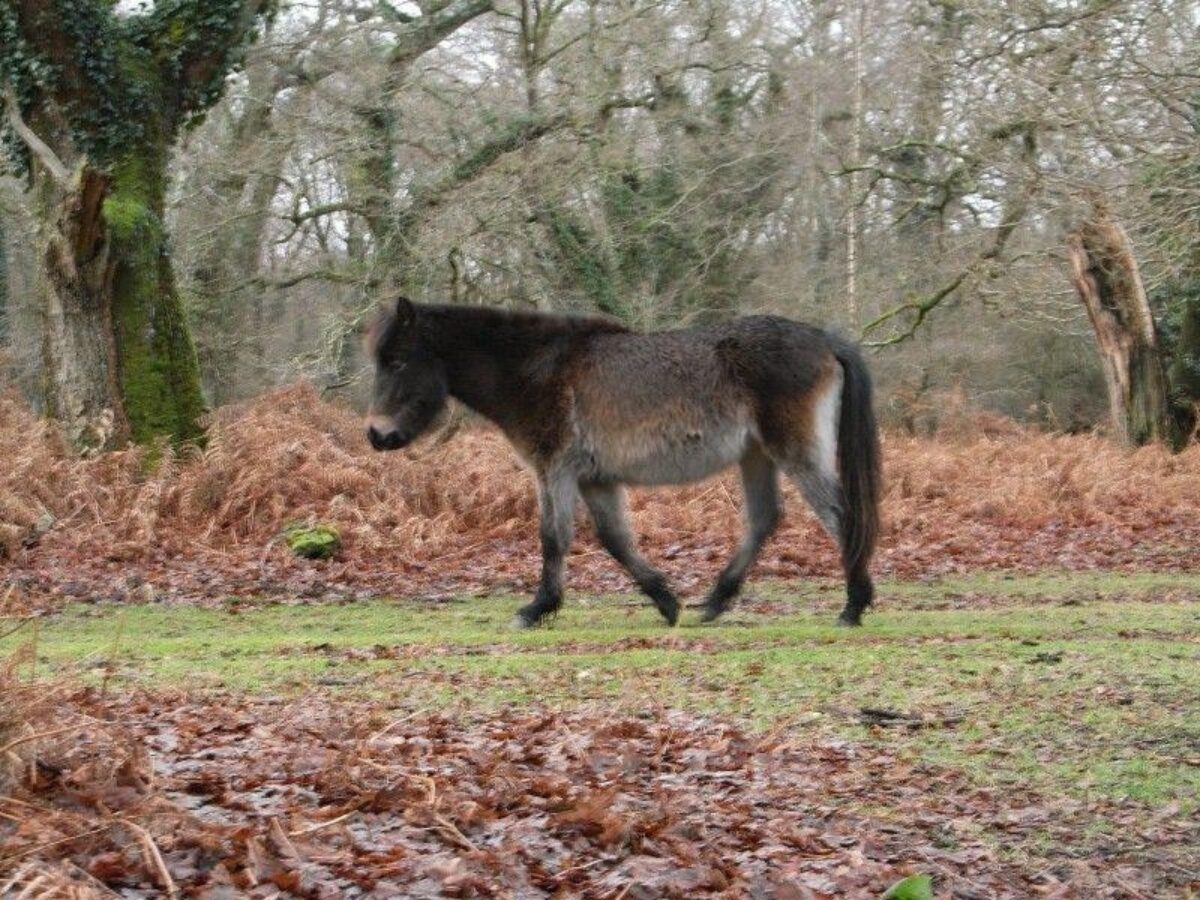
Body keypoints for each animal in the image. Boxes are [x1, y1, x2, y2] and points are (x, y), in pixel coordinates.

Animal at [364, 300, 883, 628]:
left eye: (398, 361)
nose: (376, 434)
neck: (533, 368)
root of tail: (823, 339)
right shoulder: (596, 480)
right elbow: (615, 540)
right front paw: (666, 602)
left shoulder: (555, 469)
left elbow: (553, 538)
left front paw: (536, 609)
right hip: (757, 456)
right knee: (763, 520)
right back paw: (714, 603)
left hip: (793, 451)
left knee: (841, 516)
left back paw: (853, 607)